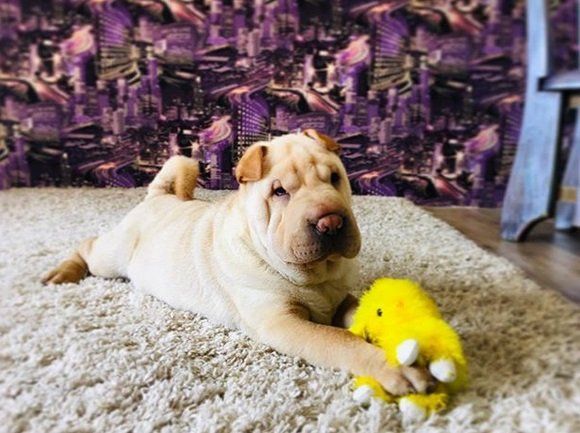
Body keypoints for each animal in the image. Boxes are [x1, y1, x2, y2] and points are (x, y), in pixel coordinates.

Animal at [44, 131, 426, 394]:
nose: (331, 222)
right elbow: (339, 340)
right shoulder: (281, 322)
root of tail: (157, 196)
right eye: (279, 192)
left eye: (334, 177)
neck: (317, 275)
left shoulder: (341, 297)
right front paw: (394, 368)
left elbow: (359, 312)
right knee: (89, 246)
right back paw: (61, 272)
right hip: (113, 256)